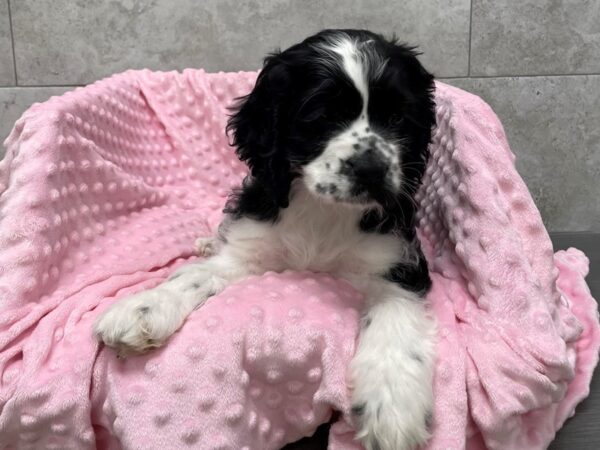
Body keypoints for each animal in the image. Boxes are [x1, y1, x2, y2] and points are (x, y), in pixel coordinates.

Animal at [96, 29, 438, 450]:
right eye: (320, 116)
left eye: (397, 117)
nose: (373, 170)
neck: (324, 211)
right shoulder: (250, 246)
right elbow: (196, 275)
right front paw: (143, 308)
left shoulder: (398, 265)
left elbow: (393, 320)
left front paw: (391, 407)